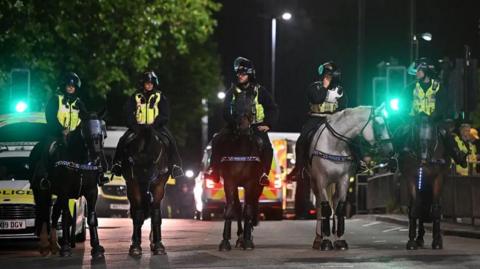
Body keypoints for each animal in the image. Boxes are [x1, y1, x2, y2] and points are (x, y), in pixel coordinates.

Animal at [118, 125, 170, 255]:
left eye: (152, 172)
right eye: (135, 170)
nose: (146, 193)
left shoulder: (158, 186)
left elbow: (155, 214)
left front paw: (158, 245)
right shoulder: (133, 184)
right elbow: (138, 214)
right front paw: (135, 245)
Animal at [216, 91, 264, 250]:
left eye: (252, 106)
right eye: (235, 107)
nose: (243, 129)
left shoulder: (252, 183)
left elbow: (248, 210)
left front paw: (248, 241)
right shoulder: (230, 182)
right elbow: (231, 209)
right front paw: (225, 241)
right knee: (237, 207)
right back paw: (239, 236)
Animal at [308, 104, 394, 249]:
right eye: (379, 124)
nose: (391, 151)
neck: (335, 145)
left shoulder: (344, 180)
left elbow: (340, 208)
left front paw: (339, 240)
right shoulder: (321, 181)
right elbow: (325, 209)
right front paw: (326, 241)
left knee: (334, 202)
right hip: (315, 183)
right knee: (320, 206)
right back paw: (319, 239)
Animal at [400, 114, 452, 249]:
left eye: (432, 139)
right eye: (416, 138)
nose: (423, 160)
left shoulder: (438, 179)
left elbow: (435, 209)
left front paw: (437, 241)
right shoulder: (411, 178)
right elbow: (414, 208)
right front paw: (412, 241)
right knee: (421, 206)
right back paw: (419, 238)